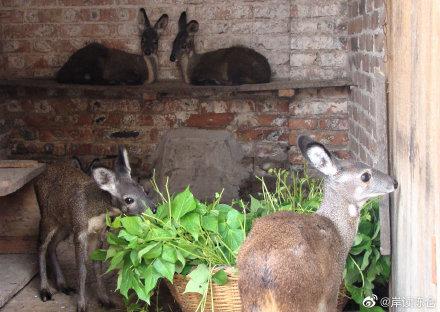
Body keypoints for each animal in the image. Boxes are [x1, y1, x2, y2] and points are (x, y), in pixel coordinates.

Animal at [237, 135, 398, 312]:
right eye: (365, 176)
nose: (395, 182)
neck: (339, 234)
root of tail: (263, 269)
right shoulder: (331, 289)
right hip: (301, 299)